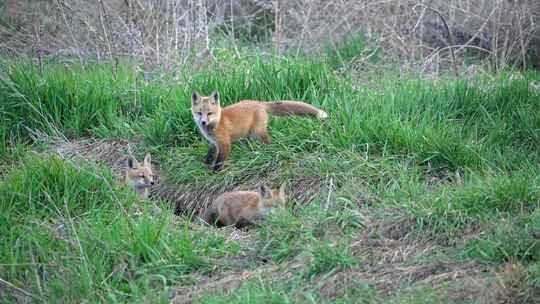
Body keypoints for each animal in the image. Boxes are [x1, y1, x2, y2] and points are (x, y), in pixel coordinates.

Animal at [191, 90, 324, 171]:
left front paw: (215, 171)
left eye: (209, 113)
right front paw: (205, 164)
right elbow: (210, 155)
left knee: (268, 142)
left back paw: (269, 153)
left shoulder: (224, 143)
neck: (216, 123)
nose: (203, 122)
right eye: (199, 113)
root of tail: (259, 103)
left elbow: (219, 161)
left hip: (258, 132)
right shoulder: (214, 143)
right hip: (249, 135)